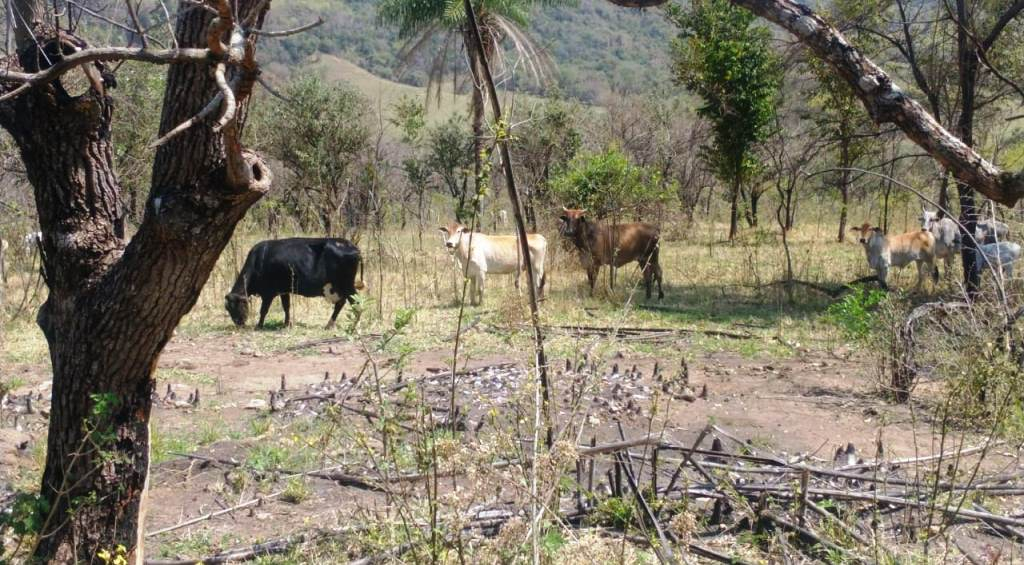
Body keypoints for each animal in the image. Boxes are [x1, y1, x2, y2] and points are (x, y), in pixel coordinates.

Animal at [224, 236, 364, 329]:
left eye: (236, 306)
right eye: (228, 308)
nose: (238, 323)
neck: (259, 260)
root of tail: (352, 246)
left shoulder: (268, 293)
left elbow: (264, 310)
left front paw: (259, 325)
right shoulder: (284, 291)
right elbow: (286, 307)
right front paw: (286, 324)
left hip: (347, 285)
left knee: (355, 303)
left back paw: (353, 326)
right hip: (339, 286)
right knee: (341, 303)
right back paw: (330, 325)